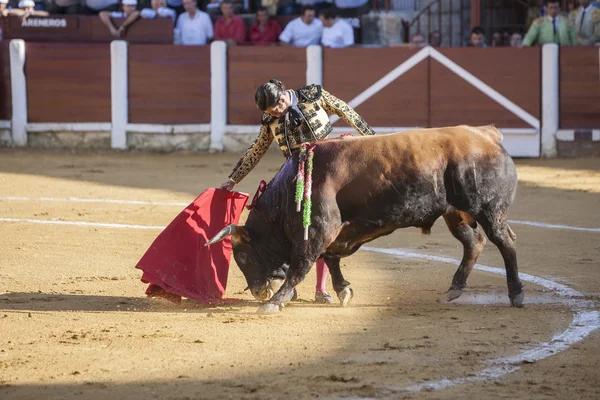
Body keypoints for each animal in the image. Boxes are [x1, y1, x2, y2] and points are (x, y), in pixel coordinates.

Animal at [207, 125, 524, 312]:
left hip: (488, 210)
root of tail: (487, 134)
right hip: (454, 213)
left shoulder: (320, 229)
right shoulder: (336, 232)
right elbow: (330, 258)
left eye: (242, 256)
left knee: (505, 241)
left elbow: (302, 264)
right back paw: (454, 290)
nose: (258, 292)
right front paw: (343, 290)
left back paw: (516, 294)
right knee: (474, 242)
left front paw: (275, 302)